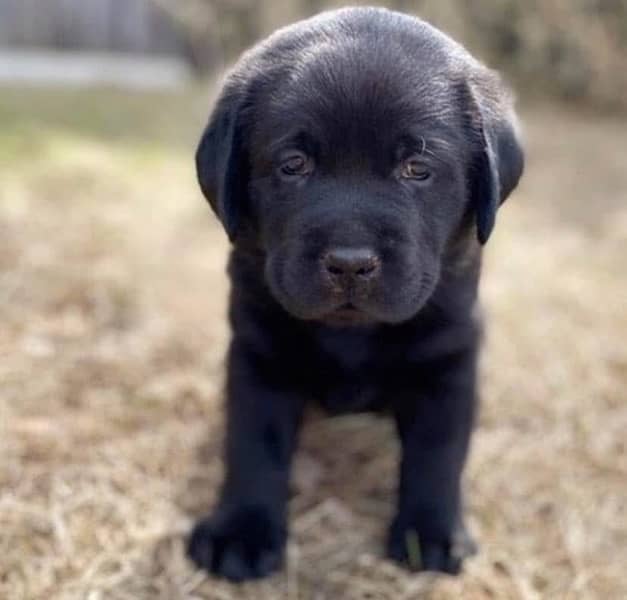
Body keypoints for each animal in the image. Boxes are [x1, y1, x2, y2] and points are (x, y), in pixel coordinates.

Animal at [186, 5, 524, 580]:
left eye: (417, 168)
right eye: (293, 164)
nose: (349, 263)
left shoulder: (450, 362)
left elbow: (439, 451)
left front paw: (432, 532)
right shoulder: (257, 354)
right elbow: (252, 444)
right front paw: (242, 531)